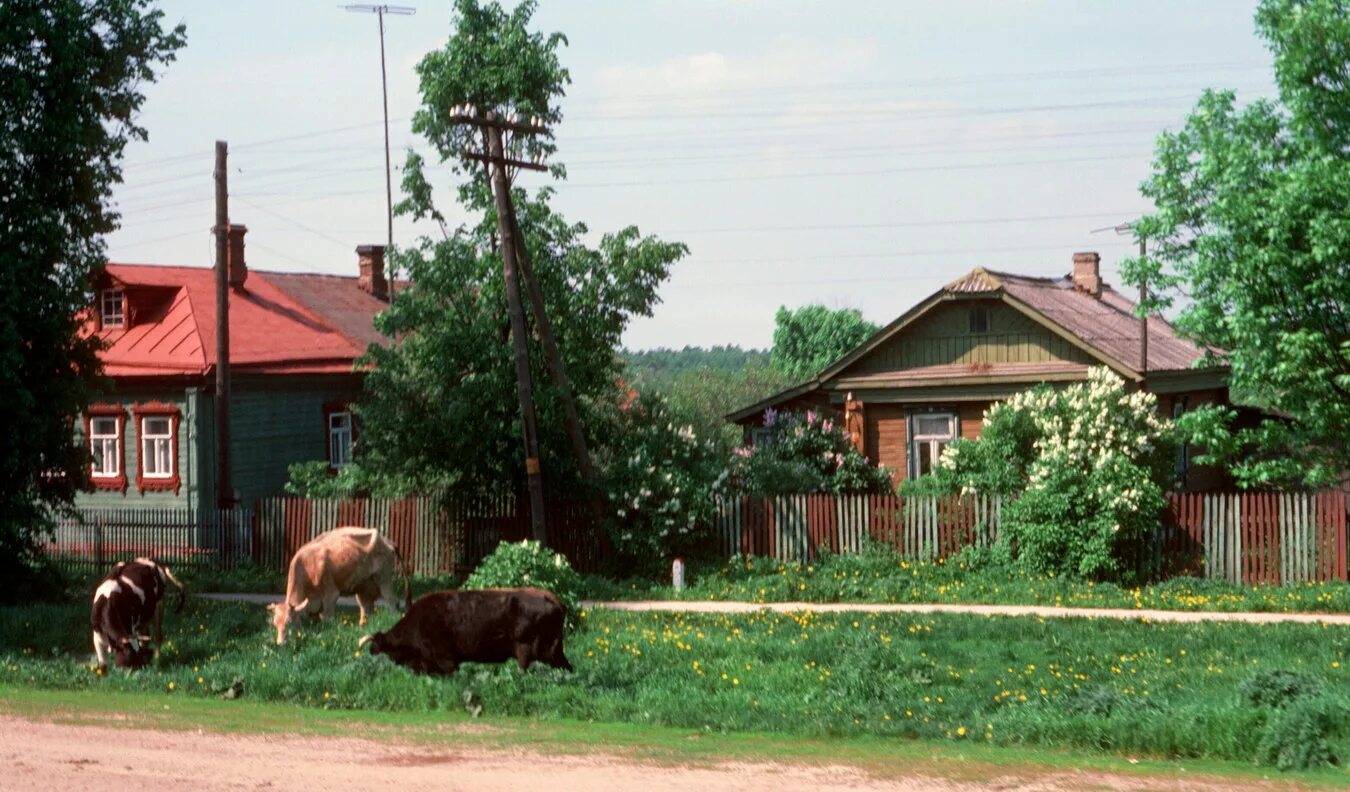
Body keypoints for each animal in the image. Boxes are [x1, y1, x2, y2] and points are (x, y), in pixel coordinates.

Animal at [265, 526, 407, 644]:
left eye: (289, 622)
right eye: (275, 624)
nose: (280, 643)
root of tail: (387, 541)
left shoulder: (330, 595)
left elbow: (327, 620)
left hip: (384, 580)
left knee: (392, 602)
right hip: (363, 587)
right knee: (366, 609)